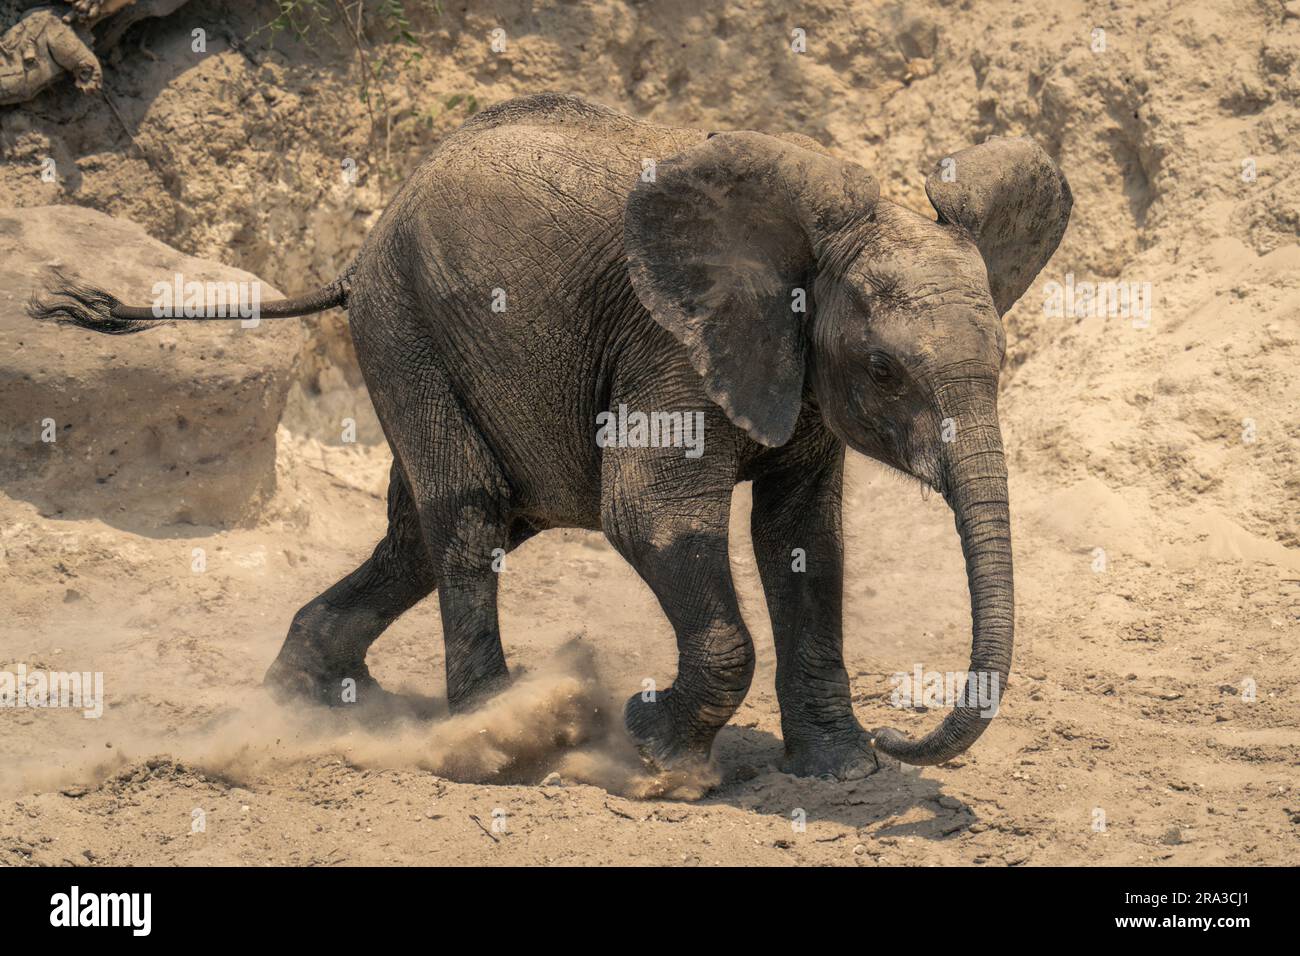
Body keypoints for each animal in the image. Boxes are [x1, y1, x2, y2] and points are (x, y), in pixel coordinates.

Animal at [31, 92, 1071, 778]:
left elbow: (806, 539)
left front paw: (844, 771)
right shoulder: (671, 348)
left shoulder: (797, 381)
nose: (906, 734)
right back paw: (489, 733)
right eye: (887, 370)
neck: (808, 242)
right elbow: (650, 515)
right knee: (468, 518)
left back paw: (311, 699)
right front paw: (656, 753)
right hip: (403, 326)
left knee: (423, 533)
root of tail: (357, 253)